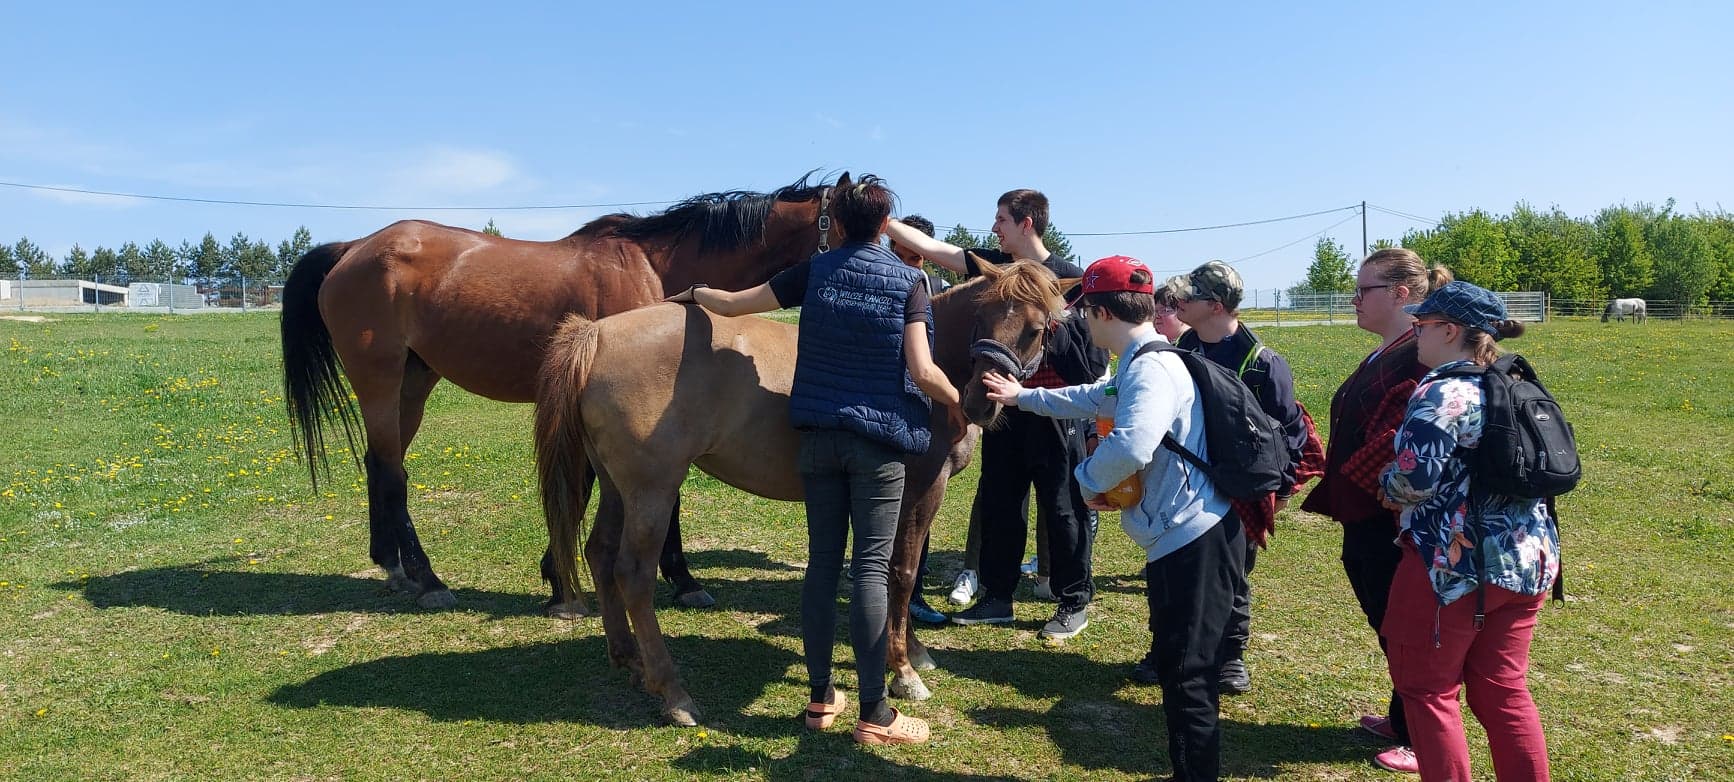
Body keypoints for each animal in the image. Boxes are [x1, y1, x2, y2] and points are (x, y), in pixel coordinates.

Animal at [280, 171, 842, 613]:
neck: (655, 269)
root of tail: (352, 248)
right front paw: (673, 581)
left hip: (412, 386)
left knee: (381, 463)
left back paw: (392, 567)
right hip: (379, 381)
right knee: (393, 474)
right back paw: (427, 579)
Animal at [534, 260, 1068, 724]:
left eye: (1036, 329)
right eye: (982, 315)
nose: (980, 400)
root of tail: (597, 334)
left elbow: (905, 575)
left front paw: (913, 652)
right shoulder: (919, 488)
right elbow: (903, 572)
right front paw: (903, 670)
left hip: (617, 488)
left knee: (600, 554)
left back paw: (629, 661)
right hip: (653, 492)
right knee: (634, 575)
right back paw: (673, 692)